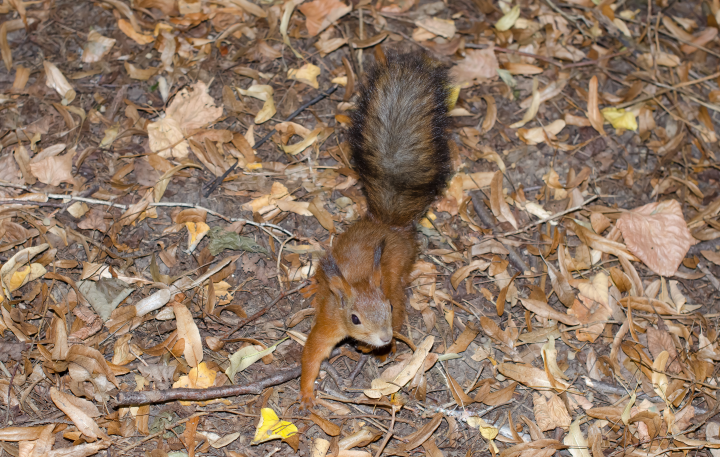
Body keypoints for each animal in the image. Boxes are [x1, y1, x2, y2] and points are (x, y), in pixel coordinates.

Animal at [300, 52, 453, 410]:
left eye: (389, 309)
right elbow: (312, 353)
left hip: (397, 274)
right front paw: (307, 393)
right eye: (355, 318)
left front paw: (377, 348)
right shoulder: (328, 322)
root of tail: (386, 223)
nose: (384, 336)